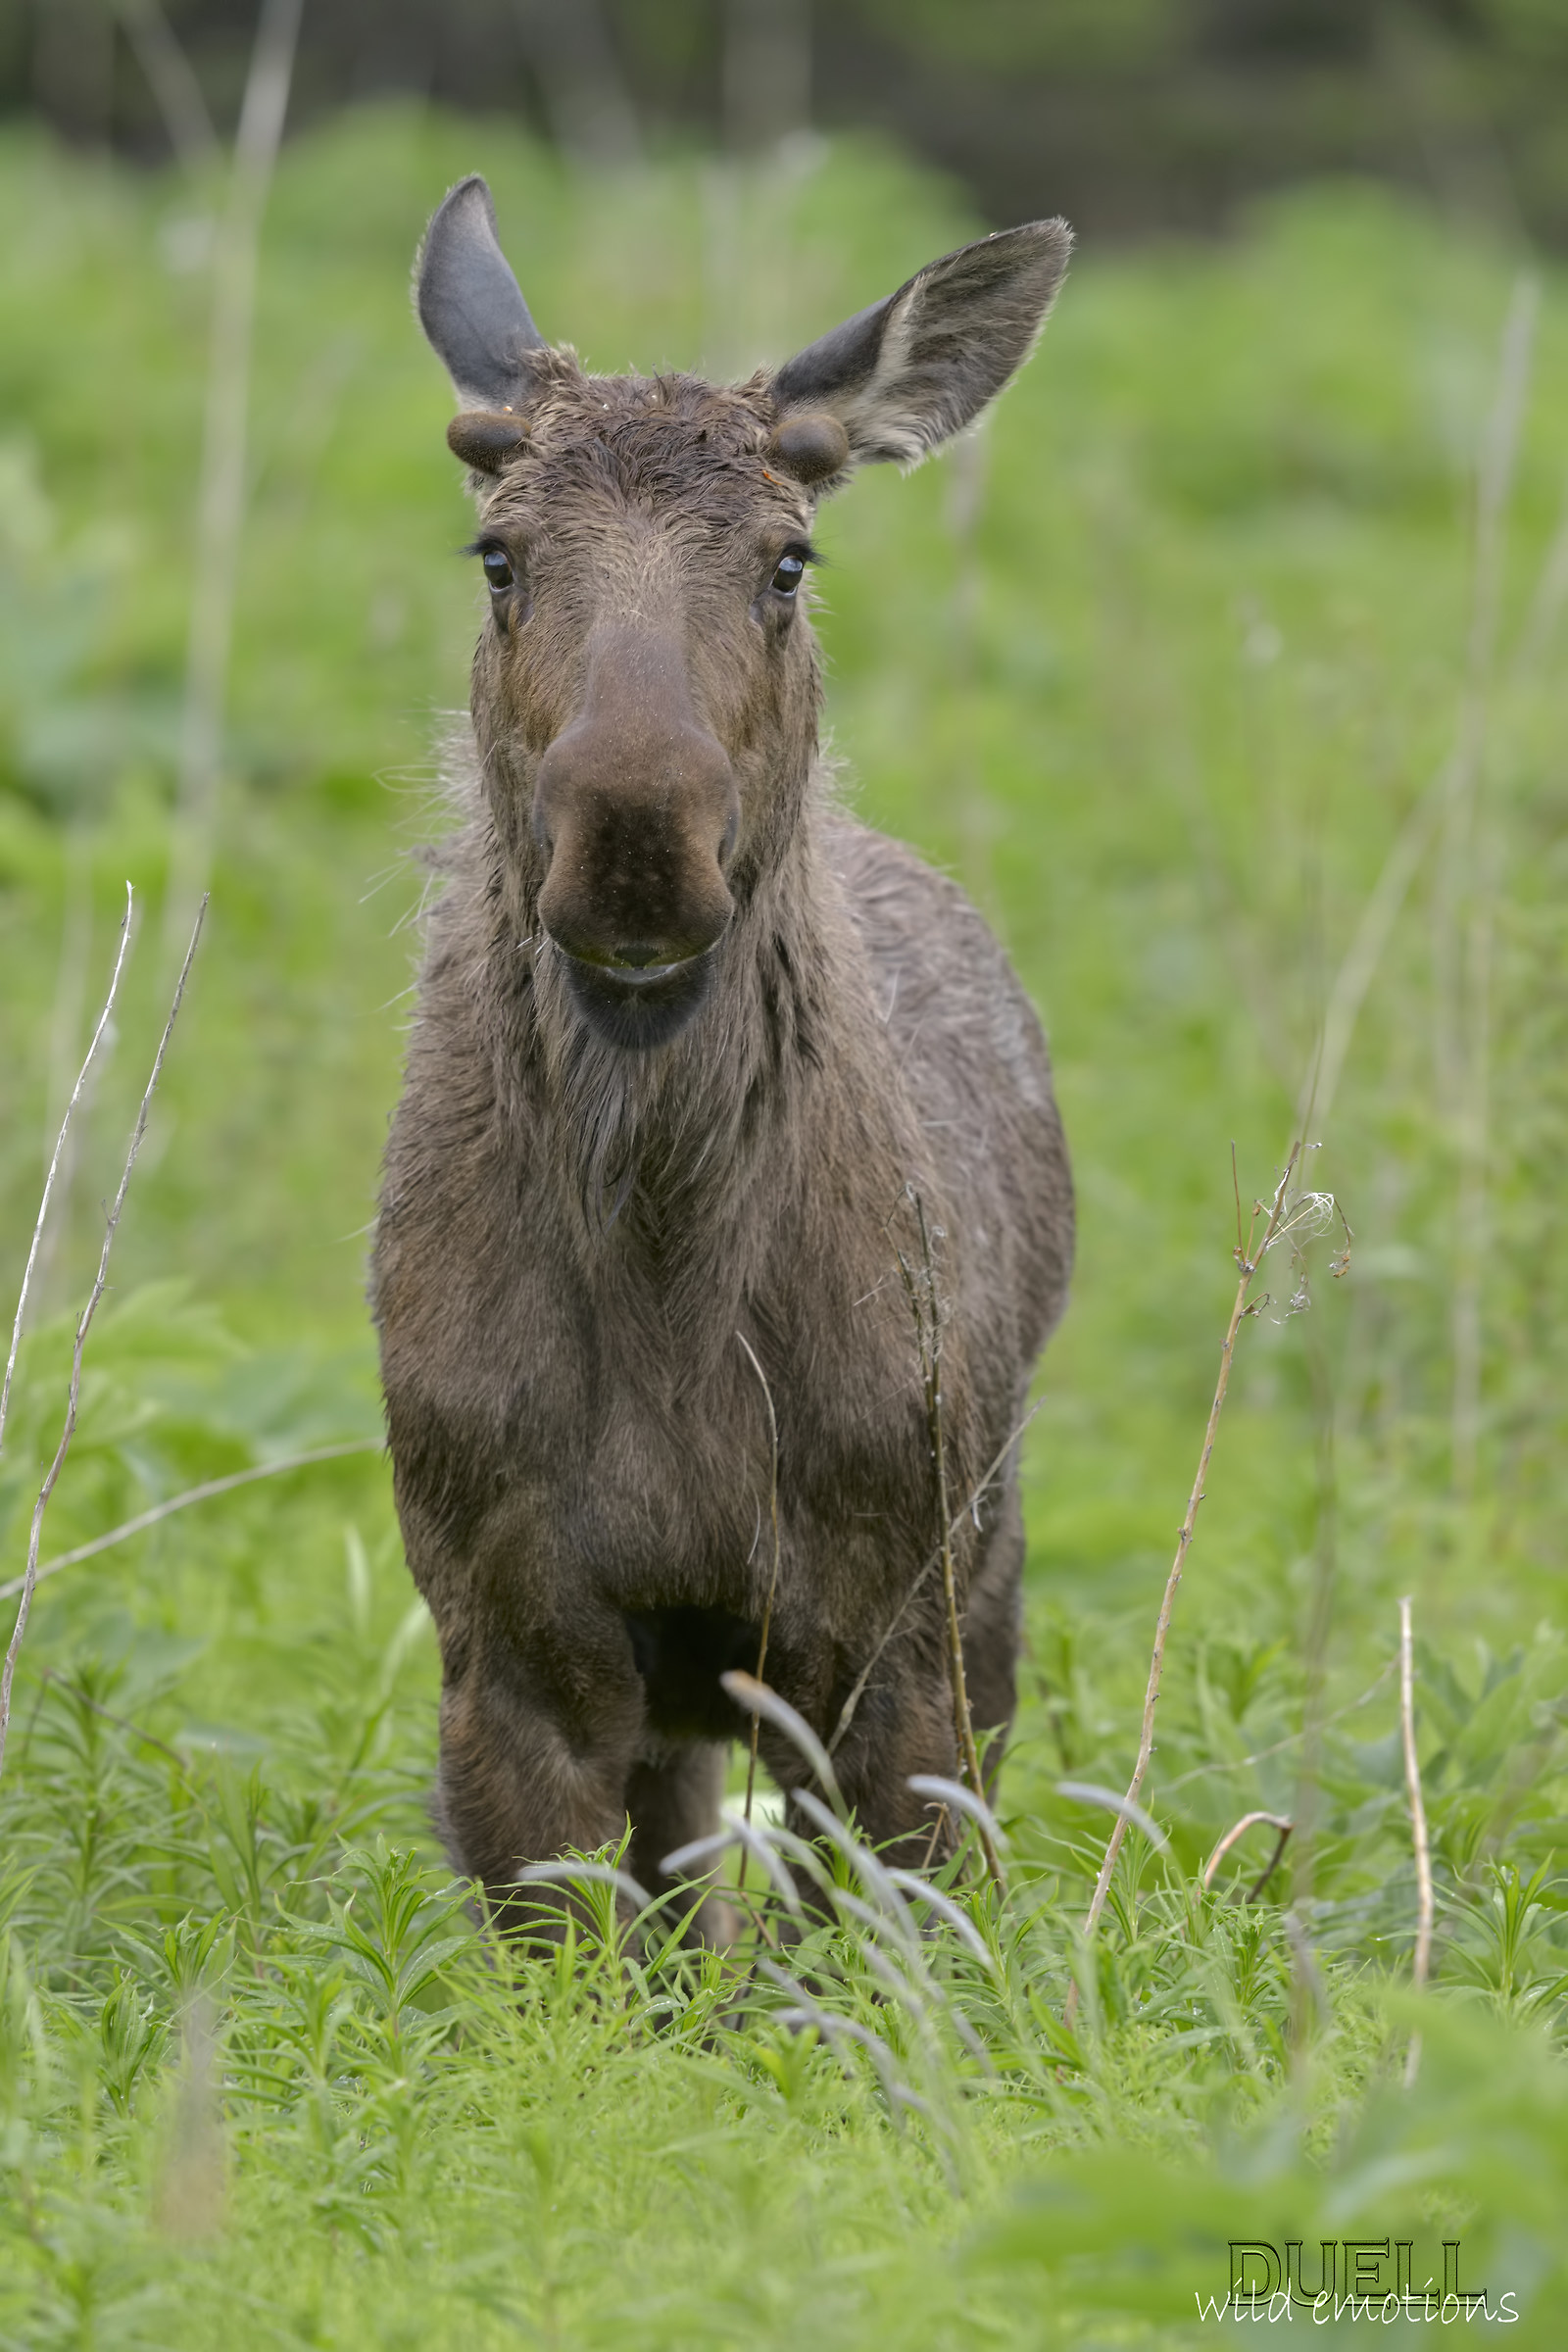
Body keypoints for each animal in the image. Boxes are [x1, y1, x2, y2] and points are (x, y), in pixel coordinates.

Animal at [372, 175, 1075, 1935]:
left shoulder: (890, 1638)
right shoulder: (508, 1637)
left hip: (990, 1559)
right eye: (498, 554)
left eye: (787, 558)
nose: (637, 839)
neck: (667, 1262)